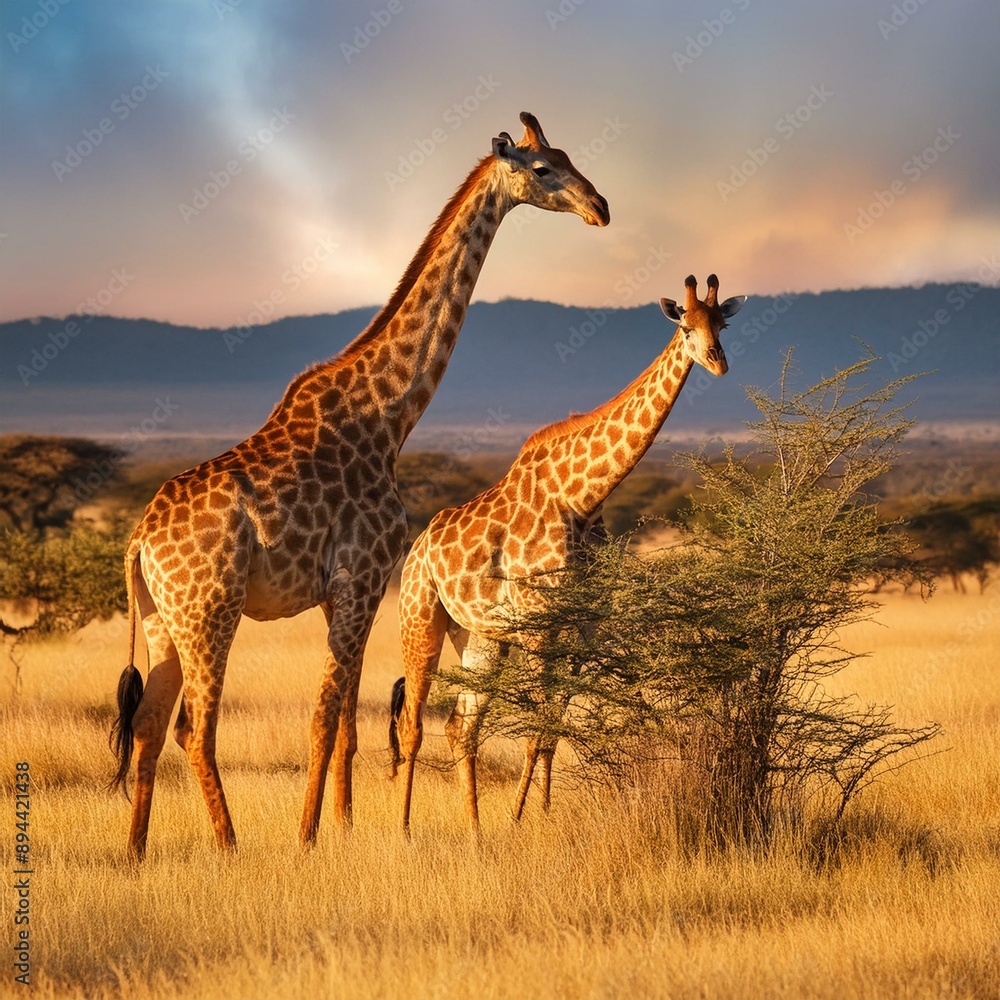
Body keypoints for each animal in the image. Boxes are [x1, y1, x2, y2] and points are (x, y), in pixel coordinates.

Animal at [108, 112, 610, 859]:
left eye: (571, 157)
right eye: (545, 169)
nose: (600, 207)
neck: (389, 415)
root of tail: (138, 540)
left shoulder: (347, 590)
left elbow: (345, 718)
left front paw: (341, 825)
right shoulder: (363, 575)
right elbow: (325, 716)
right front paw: (308, 837)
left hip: (162, 620)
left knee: (146, 723)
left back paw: (138, 852)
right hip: (210, 609)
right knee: (192, 728)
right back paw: (229, 845)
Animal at [389, 274, 745, 833]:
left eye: (723, 325)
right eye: (686, 326)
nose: (717, 361)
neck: (581, 497)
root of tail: (417, 549)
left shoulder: (582, 626)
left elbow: (553, 727)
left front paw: (538, 814)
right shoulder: (542, 624)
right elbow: (537, 725)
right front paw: (519, 821)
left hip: (481, 636)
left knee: (461, 726)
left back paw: (475, 831)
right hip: (420, 617)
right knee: (412, 722)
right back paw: (405, 831)